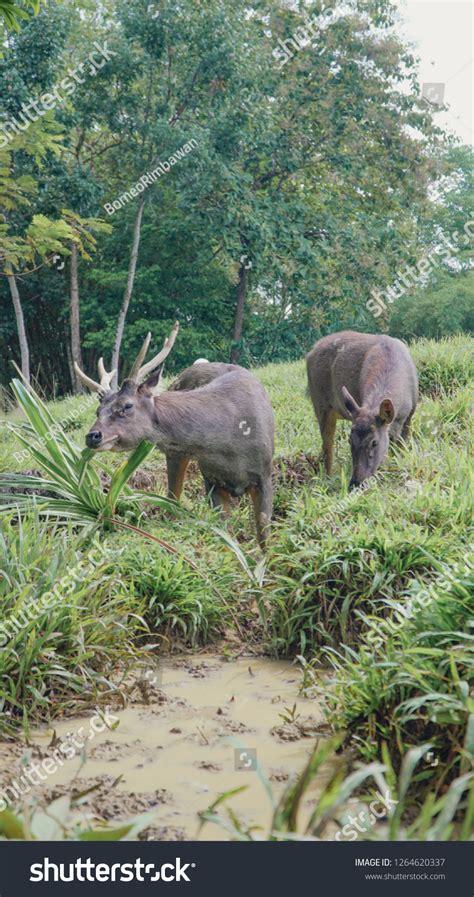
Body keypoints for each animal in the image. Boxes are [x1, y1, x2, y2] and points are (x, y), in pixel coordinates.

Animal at [74, 324, 274, 544]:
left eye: (126, 406)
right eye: (98, 411)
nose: (92, 435)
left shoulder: (265, 474)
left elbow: (264, 535)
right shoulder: (211, 479)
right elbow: (226, 535)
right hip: (178, 454)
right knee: (172, 498)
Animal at [306, 328, 416, 486]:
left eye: (374, 442)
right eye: (350, 440)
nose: (356, 482)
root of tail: (309, 353)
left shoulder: (410, 415)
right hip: (320, 404)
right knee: (327, 446)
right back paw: (326, 478)